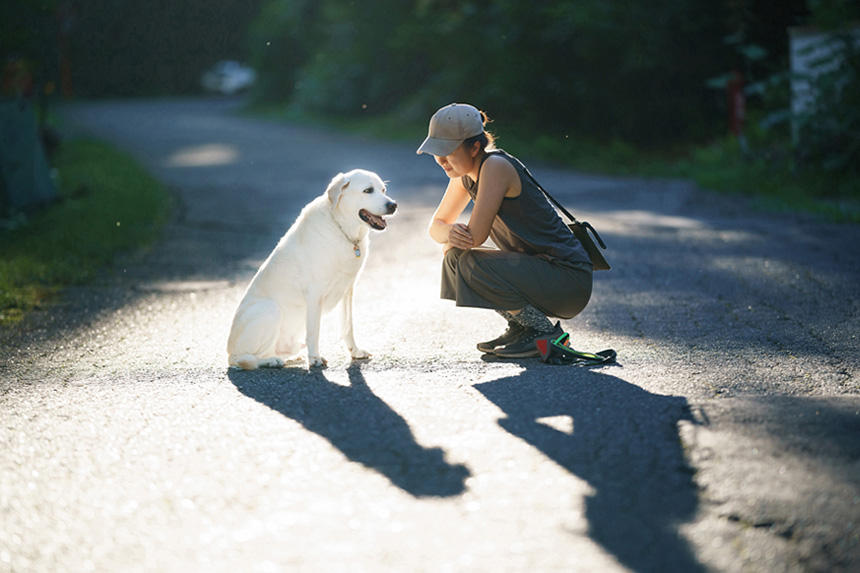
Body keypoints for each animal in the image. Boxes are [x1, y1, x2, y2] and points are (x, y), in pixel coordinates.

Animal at [225, 168, 394, 368]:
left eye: (383, 190)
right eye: (368, 191)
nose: (393, 205)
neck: (342, 229)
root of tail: (229, 352)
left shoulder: (348, 290)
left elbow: (348, 325)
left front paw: (355, 352)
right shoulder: (315, 293)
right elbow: (314, 331)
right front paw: (314, 358)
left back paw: (289, 357)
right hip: (269, 309)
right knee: (245, 358)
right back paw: (271, 361)